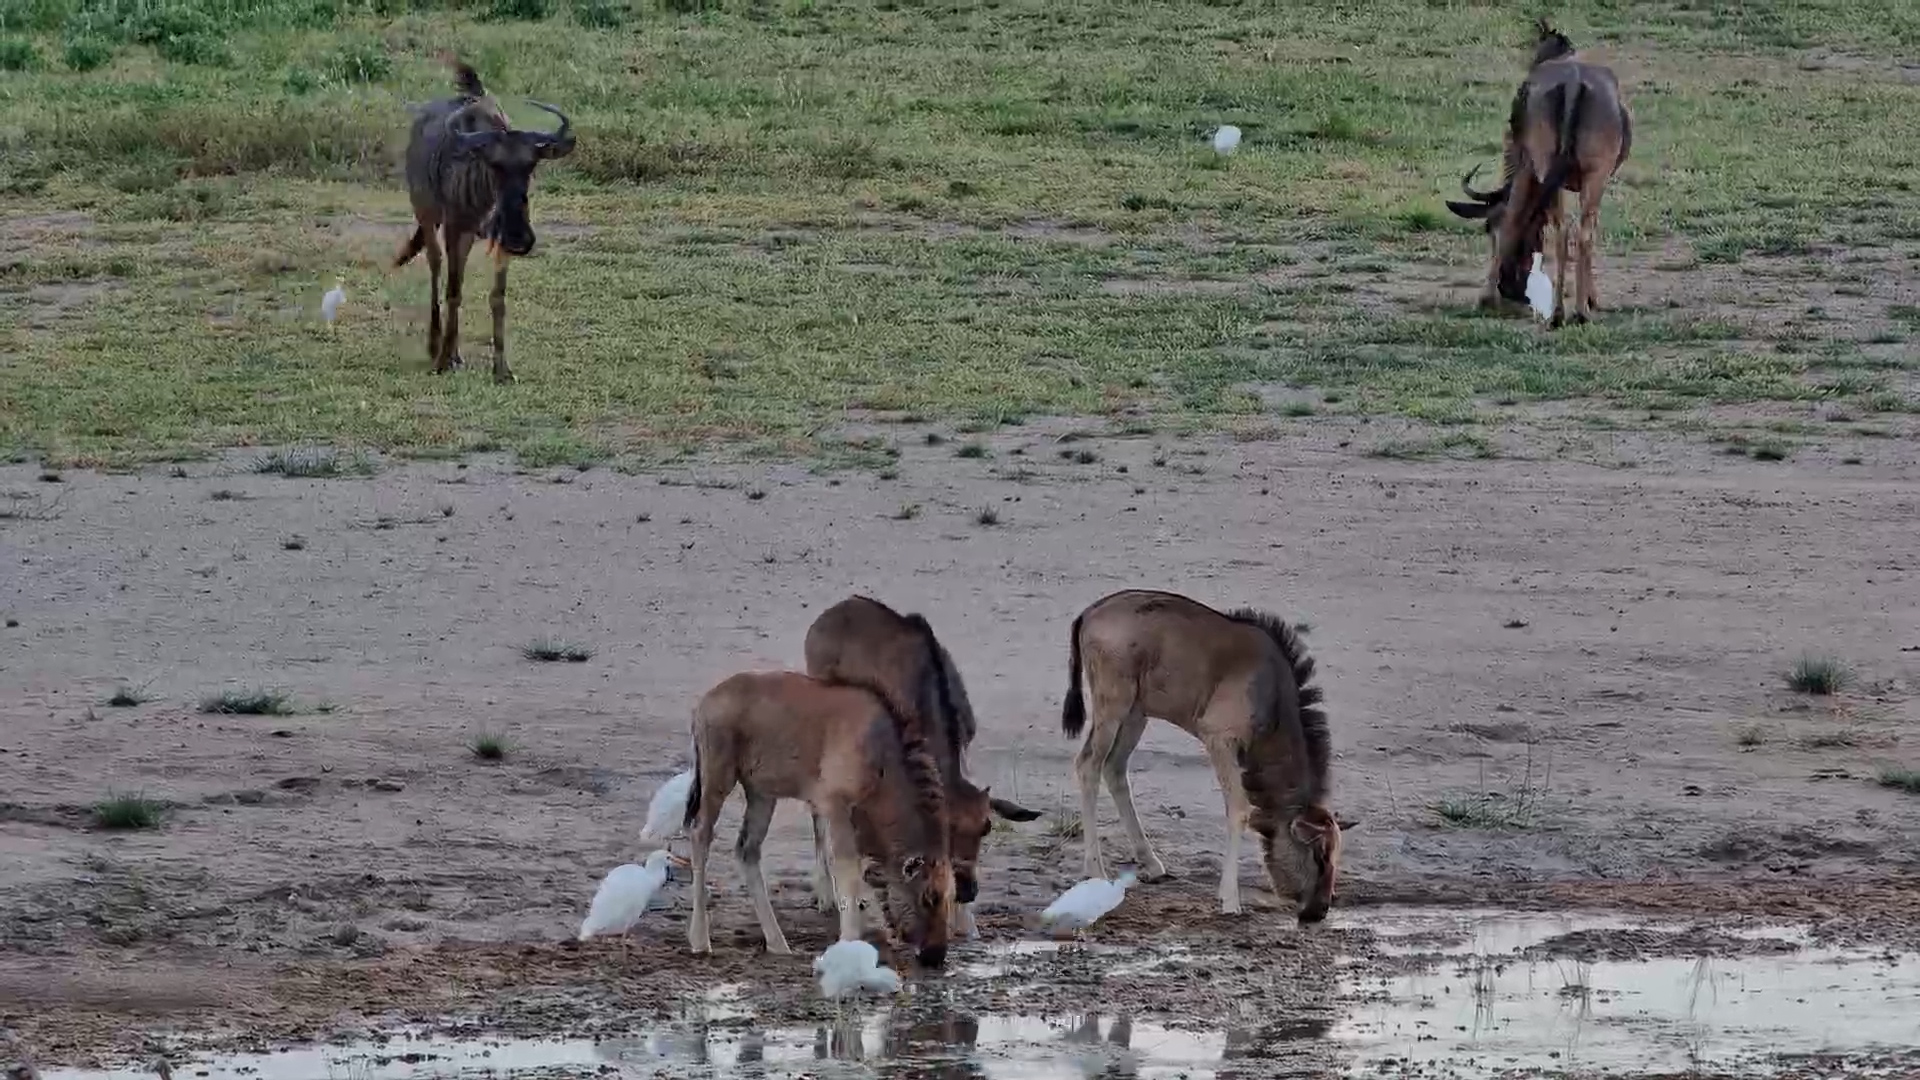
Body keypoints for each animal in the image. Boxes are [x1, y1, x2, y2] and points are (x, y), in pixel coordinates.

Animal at [394, 58, 575, 382]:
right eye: (495, 164)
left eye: (531, 165)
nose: (520, 237)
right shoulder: (455, 230)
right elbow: (454, 291)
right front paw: (443, 360)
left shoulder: (500, 240)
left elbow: (497, 297)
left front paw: (501, 369)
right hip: (426, 214)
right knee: (436, 267)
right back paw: (437, 345)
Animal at [682, 670, 954, 968]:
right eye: (929, 897)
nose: (935, 954)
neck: (883, 759)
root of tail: (704, 705)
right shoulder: (835, 804)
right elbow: (847, 873)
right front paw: (848, 943)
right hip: (718, 778)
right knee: (700, 834)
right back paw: (700, 940)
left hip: (762, 794)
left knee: (747, 849)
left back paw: (778, 943)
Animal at [1061, 589, 1351, 922]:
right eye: (1319, 855)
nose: (1319, 910)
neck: (1271, 694)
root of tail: (1089, 613)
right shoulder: (1220, 740)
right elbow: (1239, 810)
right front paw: (1230, 899)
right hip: (1113, 706)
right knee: (1088, 765)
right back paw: (1095, 869)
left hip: (1136, 713)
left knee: (1114, 768)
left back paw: (1152, 863)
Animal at [1446, 20, 1632, 327]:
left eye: (1487, 229)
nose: (1510, 289)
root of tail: (1573, 83)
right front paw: (1592, 298)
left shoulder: (1524, 169)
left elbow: (1510, 219)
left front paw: (1486, 296)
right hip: (1591, 174)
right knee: (1578, 231)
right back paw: (1574, 312)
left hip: (1550, 169)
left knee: (1563, 229)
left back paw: (1559, 312)